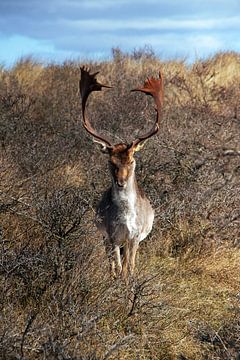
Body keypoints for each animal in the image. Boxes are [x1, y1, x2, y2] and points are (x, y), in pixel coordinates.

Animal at [79, 68, 164, 282]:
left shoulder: (134, 236)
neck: (125, 218)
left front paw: (128, 284)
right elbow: (116, 267)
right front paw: (116, 283)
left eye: (132, 161)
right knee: (112, 263)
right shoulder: (111, 235)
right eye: (111, 162)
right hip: (104, 236)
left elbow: (129, 268)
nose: (120, 182)